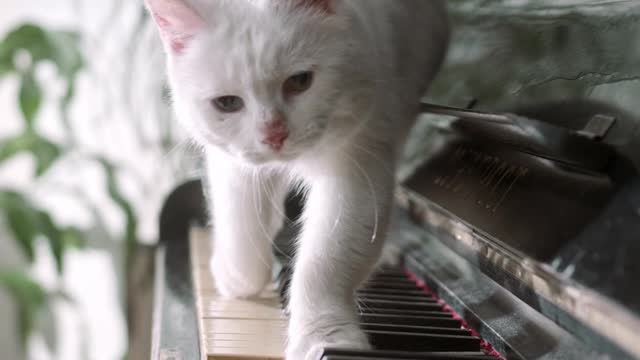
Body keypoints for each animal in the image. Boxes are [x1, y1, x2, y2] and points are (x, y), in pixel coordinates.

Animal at [144, 0, 450, 358]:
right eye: (228, 103)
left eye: (300, 81)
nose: (273, 135)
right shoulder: (233, 163)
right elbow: (240, 223)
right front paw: (236, 279)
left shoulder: (358, 166)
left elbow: (324, 263)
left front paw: (325, 338)